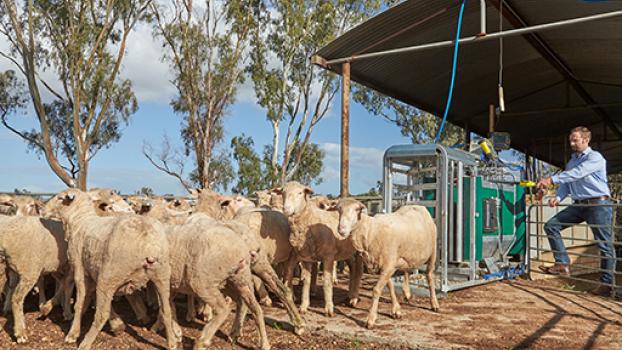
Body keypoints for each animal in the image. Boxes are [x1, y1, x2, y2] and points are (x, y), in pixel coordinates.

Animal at [44, 189, 177, 350]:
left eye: (59, 198)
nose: (43, 210)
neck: (80, 221)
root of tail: (148, 241)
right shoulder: (93, 270)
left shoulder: (80, 269)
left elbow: (79, 301)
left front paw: (73, 333)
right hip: (162, 275)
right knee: (166, 310)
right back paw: (172, 343)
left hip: (109, 276)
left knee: (102, 314)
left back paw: (85, 343)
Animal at [280, 182, 366, 316]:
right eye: (283, 192)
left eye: (300, 192)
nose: (286, 208)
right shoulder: (306, 257)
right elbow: (307, 281)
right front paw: (304, 306)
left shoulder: (328, 256)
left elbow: (327, 282)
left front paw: (329, 308)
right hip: (347, 252)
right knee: (353, 268)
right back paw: (349, 295)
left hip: (359, 251)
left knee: (359, 271)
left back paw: (354, 299)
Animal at [334, 198, 442, 330]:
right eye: (339, 210)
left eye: (357, 209)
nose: (341, 230)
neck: (371, 231)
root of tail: (418, 206)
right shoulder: (387, 265)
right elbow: (390, 286)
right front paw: (396, 310)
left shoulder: (389, 265)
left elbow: (376, 290)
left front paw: (371, 319)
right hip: (406, 254)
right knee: (407, 271)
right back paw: (407, 293)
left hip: (433, 252)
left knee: (430, 276)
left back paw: (434, 304)